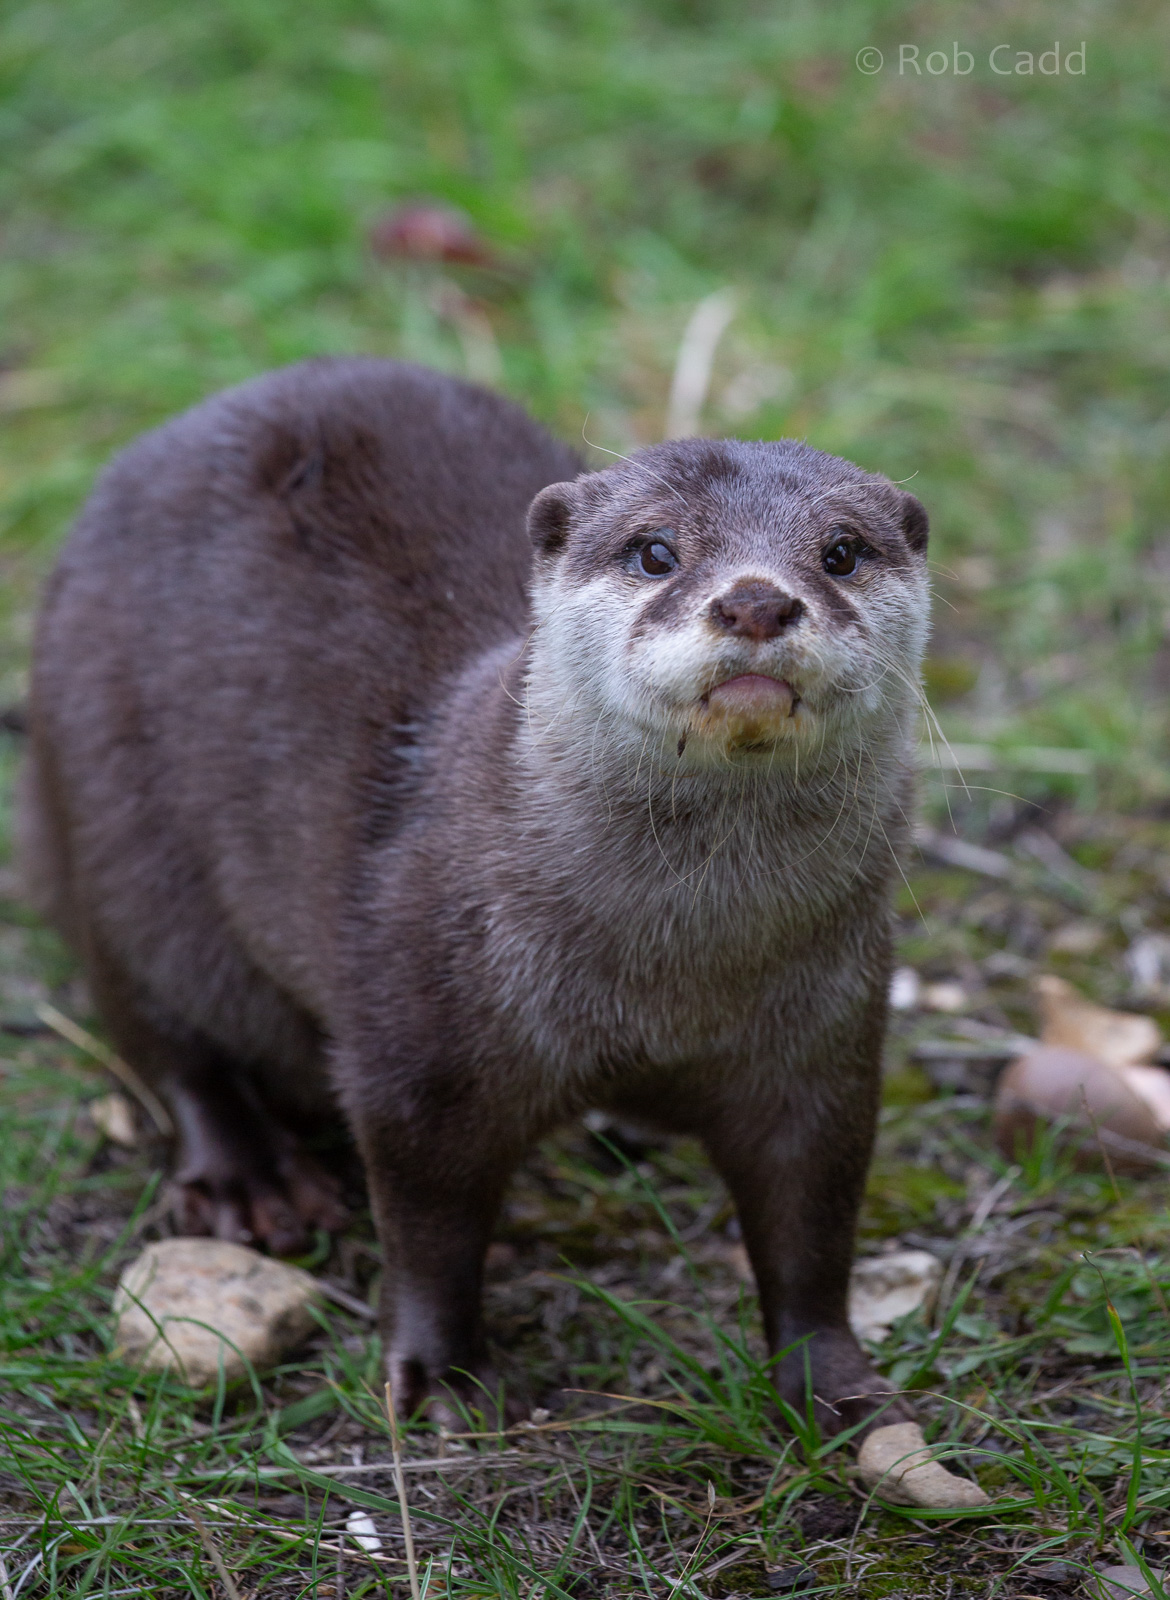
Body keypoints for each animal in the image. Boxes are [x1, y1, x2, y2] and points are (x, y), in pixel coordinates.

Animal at [21, 356, 930, 1433]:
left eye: (842, 551)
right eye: (655, 550)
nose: (755, 601)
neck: (672, 971)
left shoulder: (826, 1032)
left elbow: (813, 1220)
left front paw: (836, 1383)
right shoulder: (418, 1042)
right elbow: (429, 1227)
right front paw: (444, 1374)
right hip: (113, 823)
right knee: (156, 1026)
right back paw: (251, 1178)